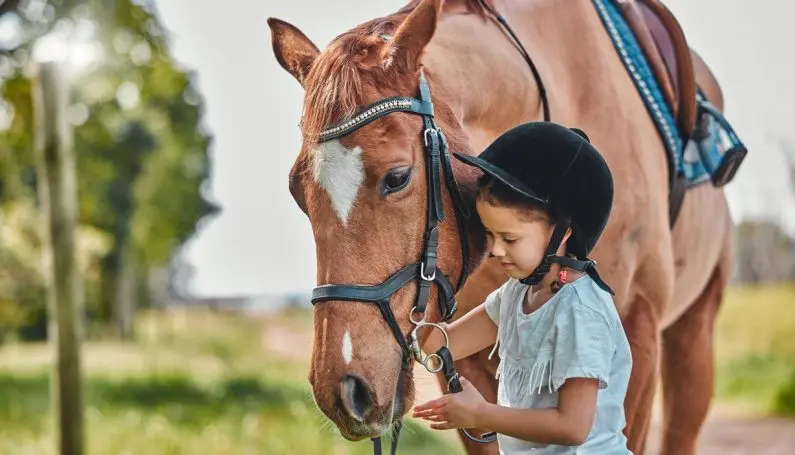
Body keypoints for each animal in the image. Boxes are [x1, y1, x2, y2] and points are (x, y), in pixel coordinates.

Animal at [267, 1, 734, 454]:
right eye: (295, 190)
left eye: (397, 177)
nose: (345, 392)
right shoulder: (460, 352)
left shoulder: (637, 333)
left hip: (693, 336)